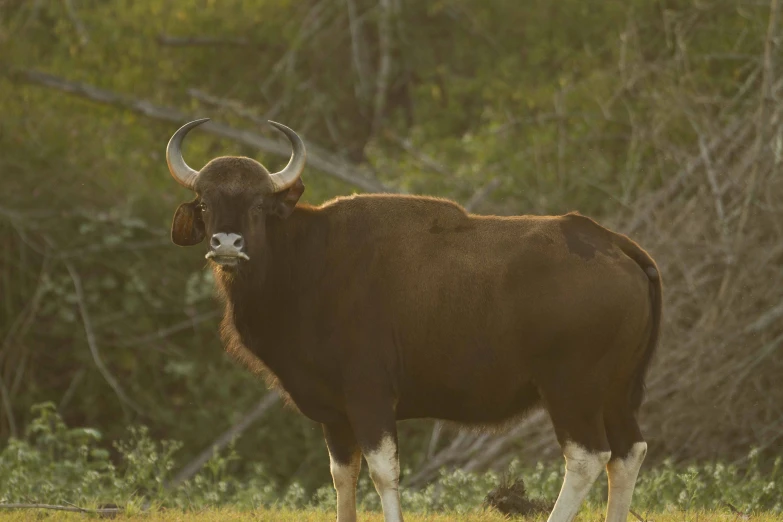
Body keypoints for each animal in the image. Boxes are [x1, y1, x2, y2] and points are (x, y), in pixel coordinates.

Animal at [164, 118, 660, 520]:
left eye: (257, 205)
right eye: (204, 203)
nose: (227, 244)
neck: (306, 264)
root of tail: (611, 242)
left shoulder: (371, 397)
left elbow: (383, 473)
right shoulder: (334, 412)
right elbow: (342, 476)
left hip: (572, 388)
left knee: (587, 457)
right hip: (618, 391)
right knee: (628, 453)